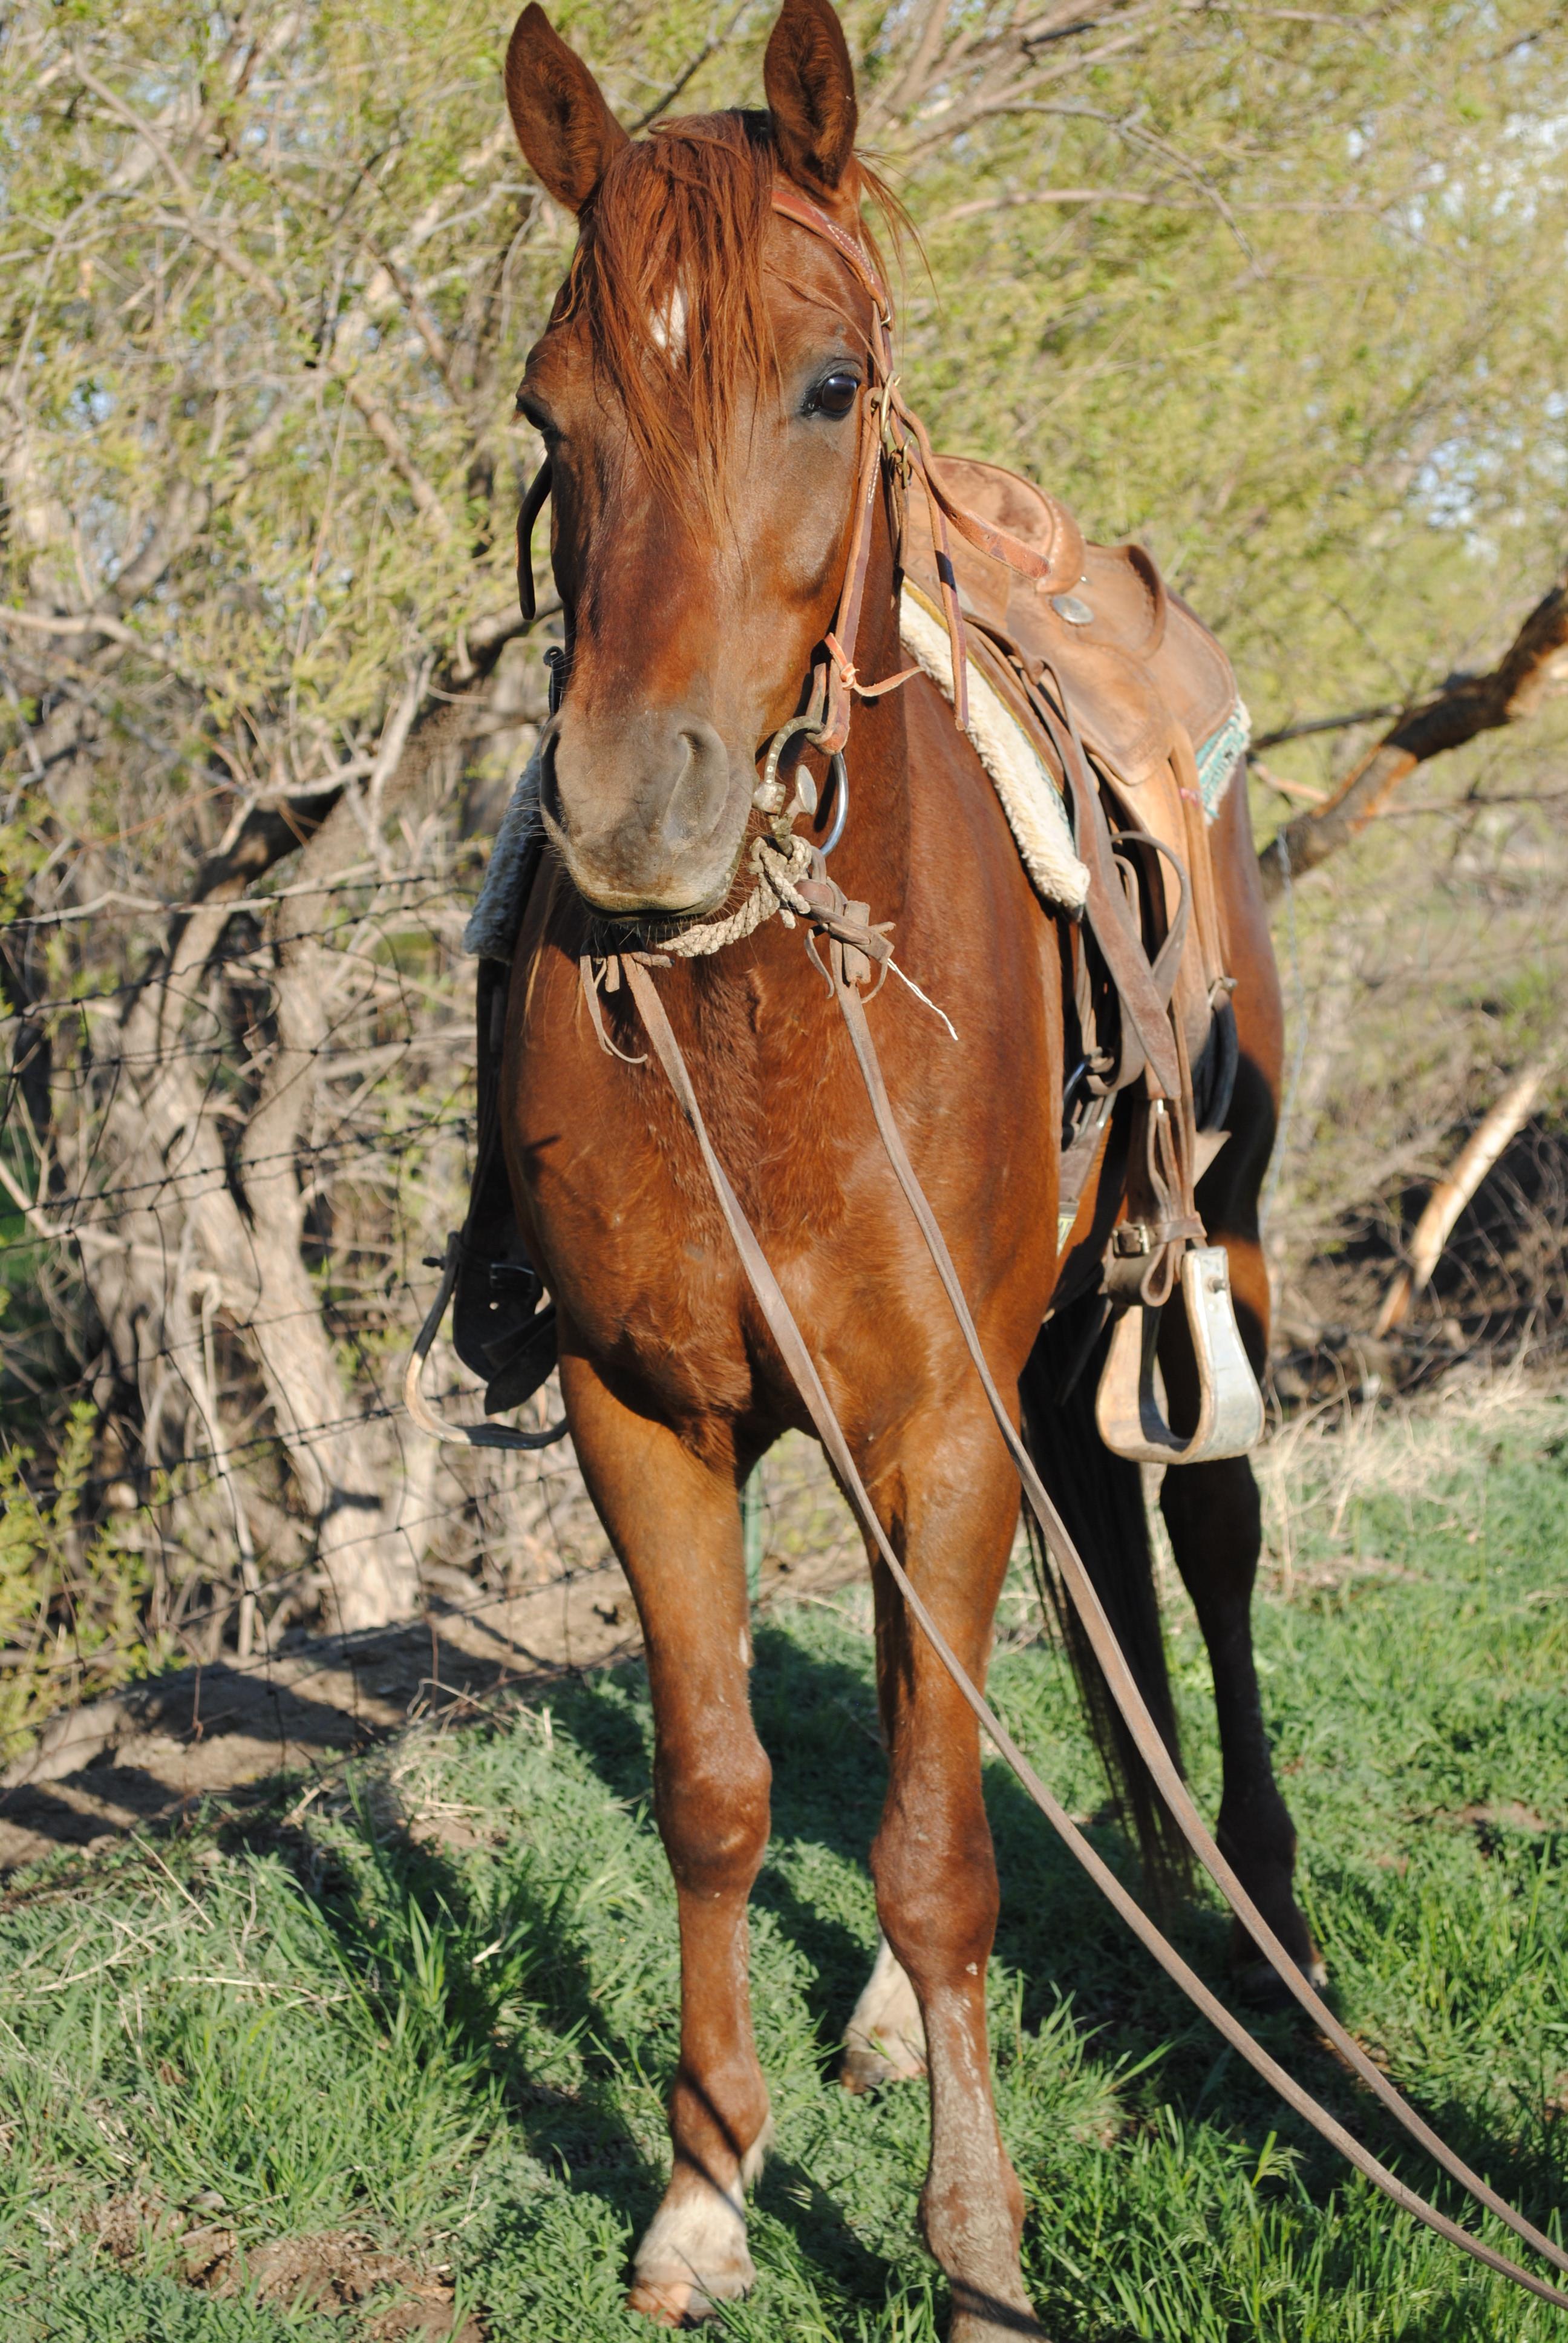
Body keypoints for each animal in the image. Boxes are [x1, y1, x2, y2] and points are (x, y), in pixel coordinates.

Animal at [494, 9, 1303, 2333]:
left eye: (830, 385)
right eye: (549, 415)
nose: (634, 816)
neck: (764, 1007)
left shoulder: (942, 1420)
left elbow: (940, 1845)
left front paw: (972, 2252)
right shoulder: (645, 1413)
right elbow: (719, 1791)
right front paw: (705, 2183)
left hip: (1209, 1242)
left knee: (1208, 1535)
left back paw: (1266, 1913)